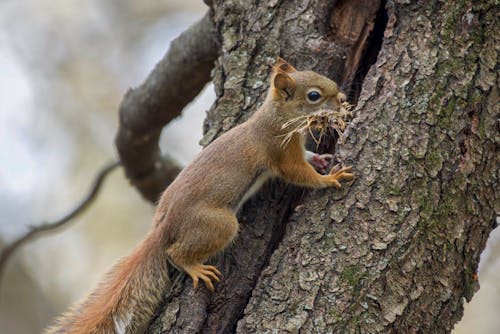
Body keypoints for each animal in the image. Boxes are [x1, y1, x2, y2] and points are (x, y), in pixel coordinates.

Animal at [46, 58, 352, 334]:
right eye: (314, 95)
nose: (342, 98)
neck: (276, 116)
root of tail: (163, 228)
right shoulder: (280, 150)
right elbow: (298, 173)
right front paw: (329, 179)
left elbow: (307, 159)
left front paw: (322, 160)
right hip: (218, 224)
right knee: (175, 253)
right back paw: (194, 267)